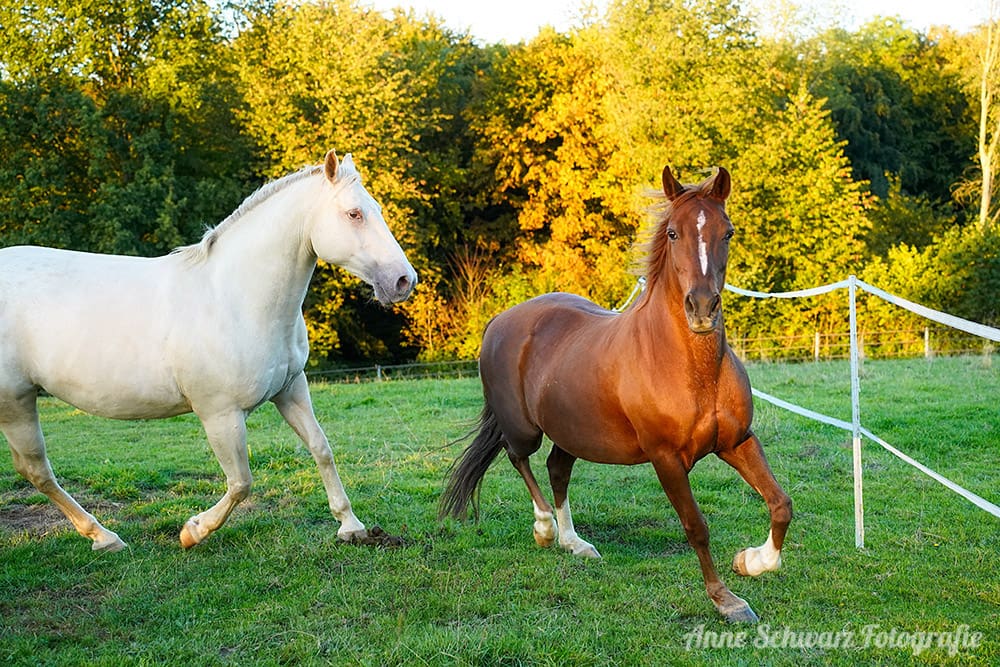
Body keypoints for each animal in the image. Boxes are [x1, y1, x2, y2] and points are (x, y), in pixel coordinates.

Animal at [0, 150, 417, 552]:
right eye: (354, 213)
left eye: (377, 209)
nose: (403, 280)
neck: (235, 297)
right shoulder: (221, 415)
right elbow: (241, 482)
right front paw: (193, 531)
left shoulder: (290, 389)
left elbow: (321, 448)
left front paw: (351, 527)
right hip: (16, 404)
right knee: (37, 471)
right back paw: (104, 537)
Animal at [440, 165, 792, 623]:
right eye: (674, 233)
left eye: (727, 232)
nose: (701, 308)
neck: (690, 369)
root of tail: (500, 321)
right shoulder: (666, 460)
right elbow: (696, 527)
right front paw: (726, 600)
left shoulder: (737, 442)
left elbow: (780, 503)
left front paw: (752, 561)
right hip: (524, 428)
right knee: (520, 458)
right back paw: (544, 529)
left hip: (573, 431)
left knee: (556, 468)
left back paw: (575, 543)